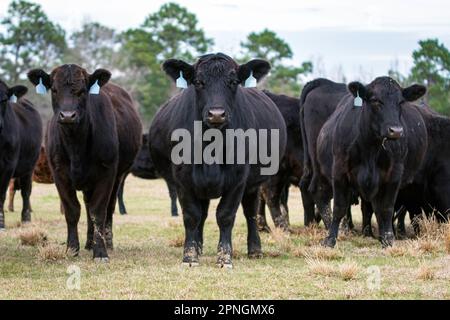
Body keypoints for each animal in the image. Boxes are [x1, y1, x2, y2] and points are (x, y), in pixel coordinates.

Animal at [0, 81, 41, 229]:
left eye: (4, 100)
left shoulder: (8, 165)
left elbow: (1, 193)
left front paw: (1, 222)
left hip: (29, 168)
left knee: (26, 191)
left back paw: (26, 218)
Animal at [28, 64, 141, 260]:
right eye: (54, 90)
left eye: (82, 91)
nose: (67, 116)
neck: (76, 146)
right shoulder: (59, 174)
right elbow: (72, 210)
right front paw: (72, 248)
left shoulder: (107, 173)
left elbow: (99, 212)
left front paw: (101, 251)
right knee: (87, 206)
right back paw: (89, 243)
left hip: (118, 176)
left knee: (108, 208)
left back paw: (106, 242)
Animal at [149, 53, 286, 268]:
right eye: (198, 82)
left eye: (233, 82)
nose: (216, 114)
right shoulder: (183, 180)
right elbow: (192, 216)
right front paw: (190, 256)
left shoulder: (238, 180)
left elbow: (226, 216)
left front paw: (224, 258)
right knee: (203, 214)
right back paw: (199, 247)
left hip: (253, 184)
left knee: (251, 212)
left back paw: (255, 249)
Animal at [312, 77, 428, 248]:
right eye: (375, 101)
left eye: (401, 102)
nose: (396, 131)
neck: (370, 148)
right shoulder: (339, 171)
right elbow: (339, 207)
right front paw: (330, 239)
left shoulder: (394, 175)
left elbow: (386, 208)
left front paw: (388, 240)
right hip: (321, 174)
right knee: (323, 198)